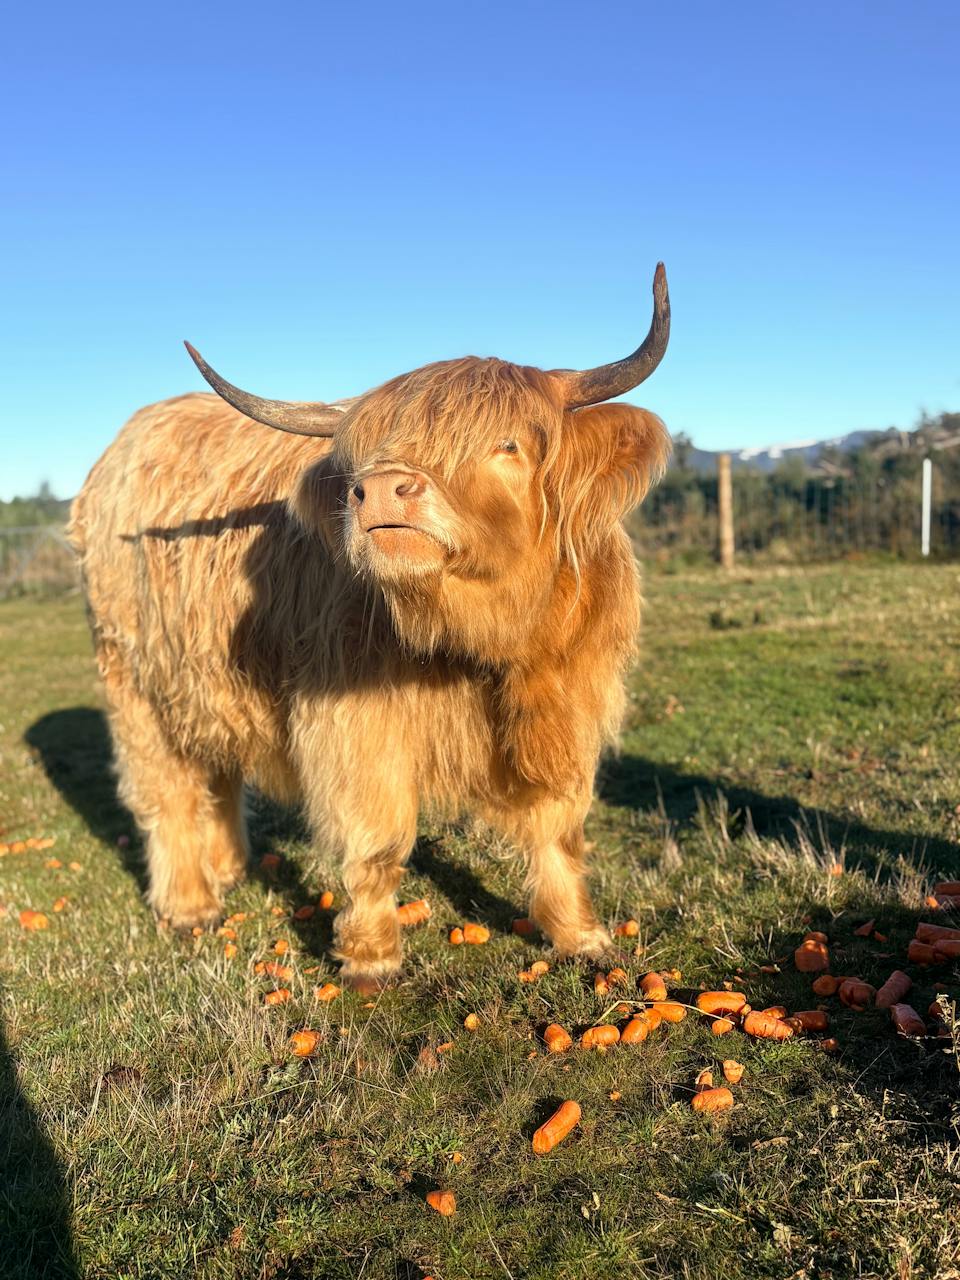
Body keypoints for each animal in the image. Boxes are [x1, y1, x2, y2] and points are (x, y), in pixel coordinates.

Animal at [69, 265, 671, 991]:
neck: (484, 642)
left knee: (219, 768)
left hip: (206, 680)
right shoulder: (355, 721)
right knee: (168, 790)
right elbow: (376, 838)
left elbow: (559, 826)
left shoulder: (571, 703)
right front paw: (371, 956)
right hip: (135, 681)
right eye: (367, 455)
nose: (380, 489)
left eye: (507, 445)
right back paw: (190, 904)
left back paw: (228, 867)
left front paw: (579, 934)